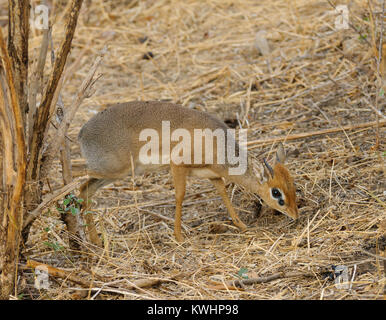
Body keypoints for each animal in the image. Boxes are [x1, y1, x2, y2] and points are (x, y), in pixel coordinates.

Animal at [77, 101, 298, 244]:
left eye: (293, 187)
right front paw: (179, 236)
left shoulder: (212, 175)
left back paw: (95, 240)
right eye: (276, 193)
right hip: (112, 170)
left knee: (85, 191)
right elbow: (180, 196)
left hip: (112, 175)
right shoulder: (178, 165)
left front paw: (242, 225)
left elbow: (224, 193)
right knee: (76, 179)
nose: (295, 215)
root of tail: (82, 132)